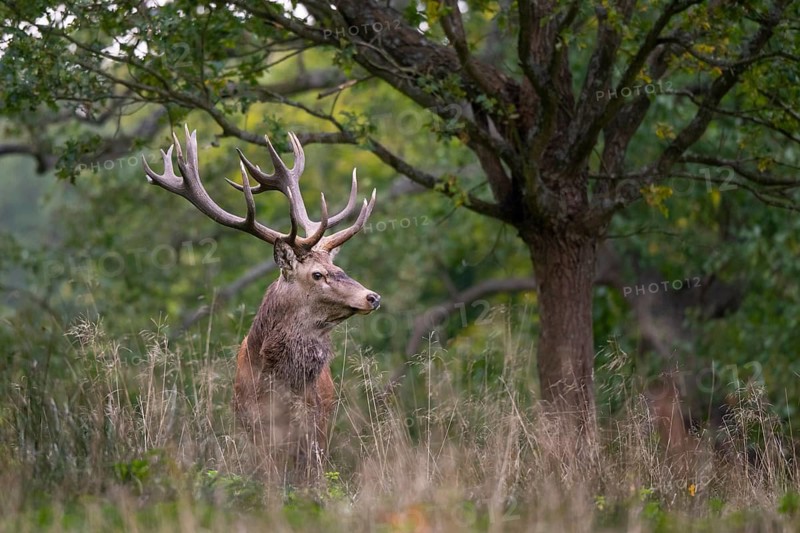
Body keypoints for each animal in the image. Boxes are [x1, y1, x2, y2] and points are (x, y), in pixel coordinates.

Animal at [143, 126, 380, 474]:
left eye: (339, 268)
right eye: (317, 274)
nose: (372, 296)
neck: (277, 387)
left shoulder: (314, 426)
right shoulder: (255, 429)